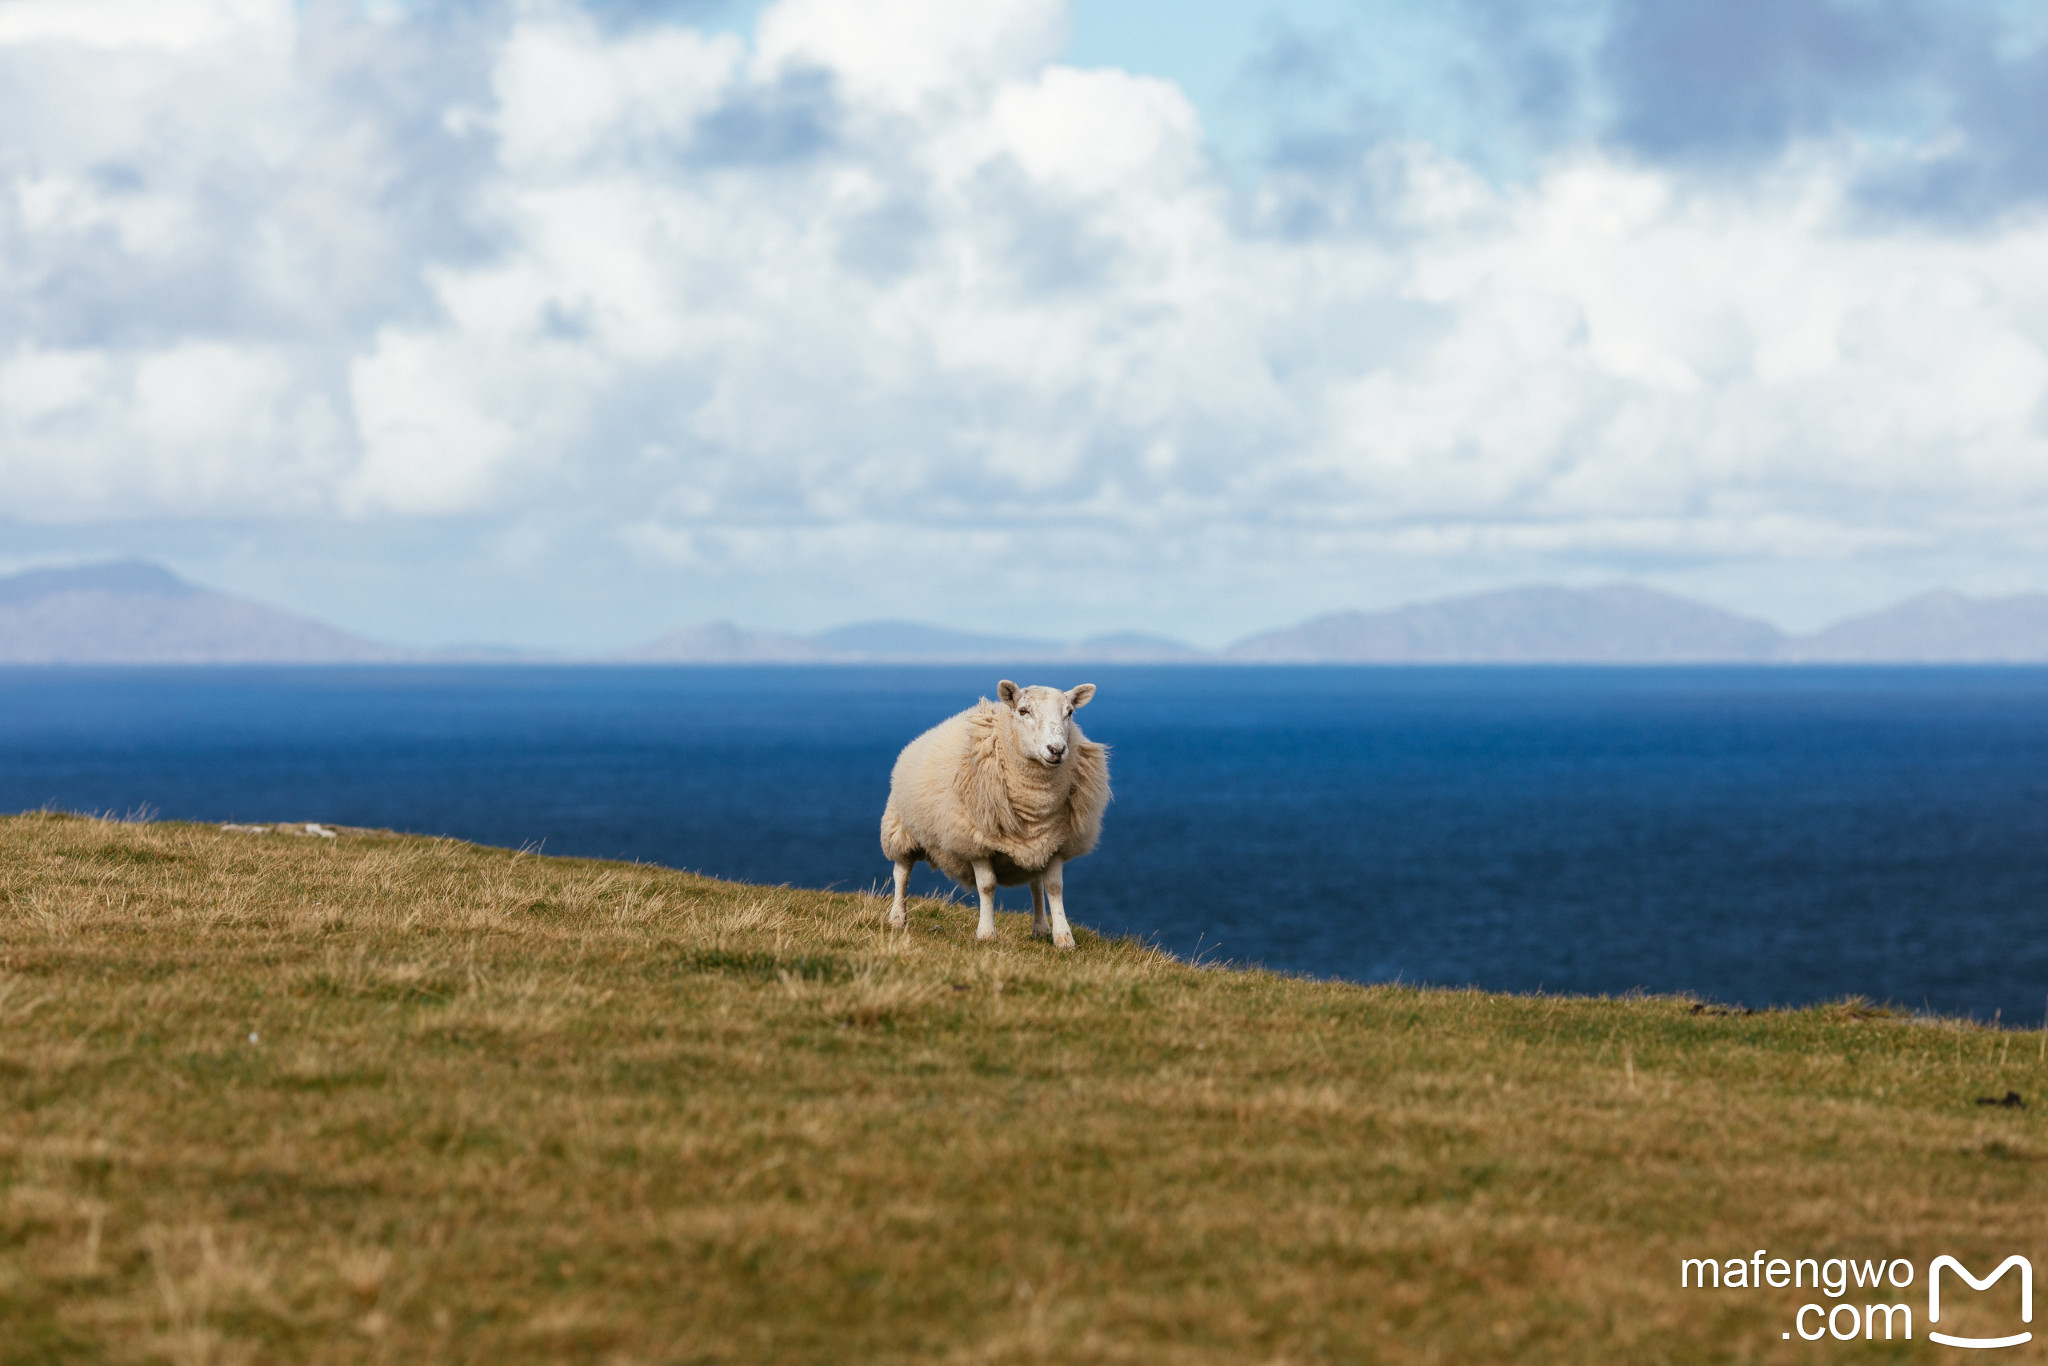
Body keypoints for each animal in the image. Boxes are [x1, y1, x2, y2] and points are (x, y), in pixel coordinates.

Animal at [876, 679, 1114, 950]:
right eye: (1023, 711)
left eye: (1070, 713)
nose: (1056, 750)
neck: (1036, 804)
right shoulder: (976, 841)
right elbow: (987, 886)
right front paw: (986, 934)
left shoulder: (1055, 841)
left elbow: (1054, 887)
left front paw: (1064, 938)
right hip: (900, 828)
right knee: (901, 872)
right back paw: (897, 918)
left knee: (1035, 884)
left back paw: (1041, 927)